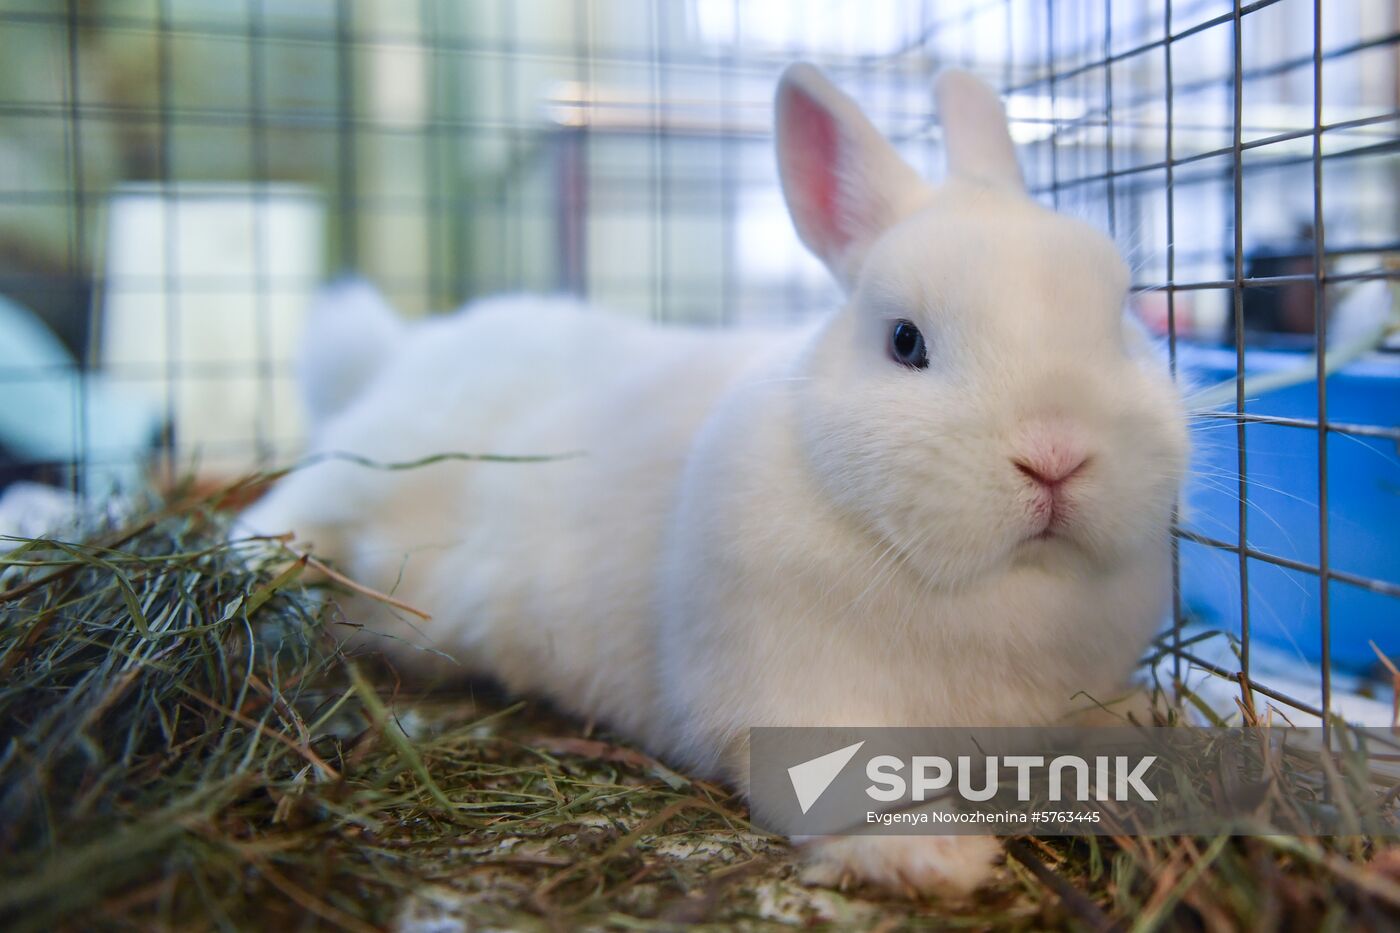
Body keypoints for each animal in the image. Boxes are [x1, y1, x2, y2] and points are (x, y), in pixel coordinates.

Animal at [241, 63, 1189, 896]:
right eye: (905, 342)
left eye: (1118, 319)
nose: (1057, 454)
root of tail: (396, 354)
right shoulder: (797, 698)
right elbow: (846, 784)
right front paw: (931, 857)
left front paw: (1150, 720)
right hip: (354, 478)